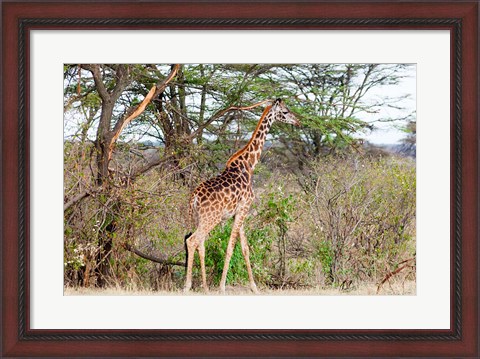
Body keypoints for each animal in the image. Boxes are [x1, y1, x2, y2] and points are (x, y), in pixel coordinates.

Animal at [185, 99, 300, 296]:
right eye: (285, 112)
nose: (298, 122)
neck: (249, 165)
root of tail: (194, 198)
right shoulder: (243, 209)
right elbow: (231, 247)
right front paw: (222, 287)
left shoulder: (240, 213)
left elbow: (245, 248)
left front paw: (254, 288)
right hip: (211, 218)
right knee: (193, 241)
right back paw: (191, 287)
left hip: (199, 218)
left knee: (199, 243)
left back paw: (201, 287)